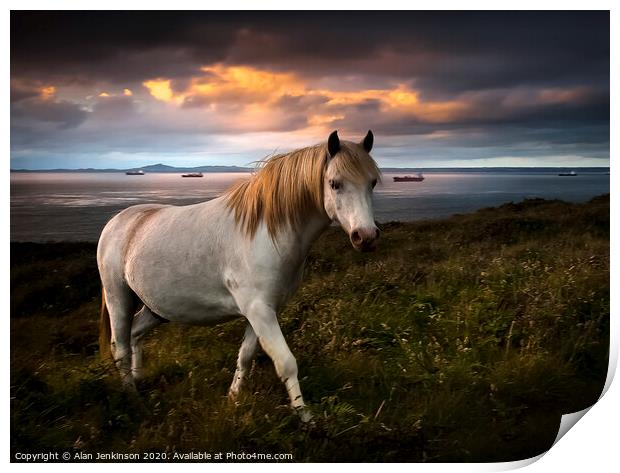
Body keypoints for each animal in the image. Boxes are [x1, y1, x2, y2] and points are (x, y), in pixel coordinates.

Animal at [98, 130, 380, 420]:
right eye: (334, 184)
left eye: (372, 183)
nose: (366, 236)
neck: (266, 233)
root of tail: (117, 221)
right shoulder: (259, 311)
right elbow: (286, 363)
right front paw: (306, 418)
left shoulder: (264, 312)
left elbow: (245, 355)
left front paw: (233, 399)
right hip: (118, 296)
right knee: (120, 348)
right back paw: (134, 401)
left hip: (156, 309)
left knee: (135, 333)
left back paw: (139, 379)